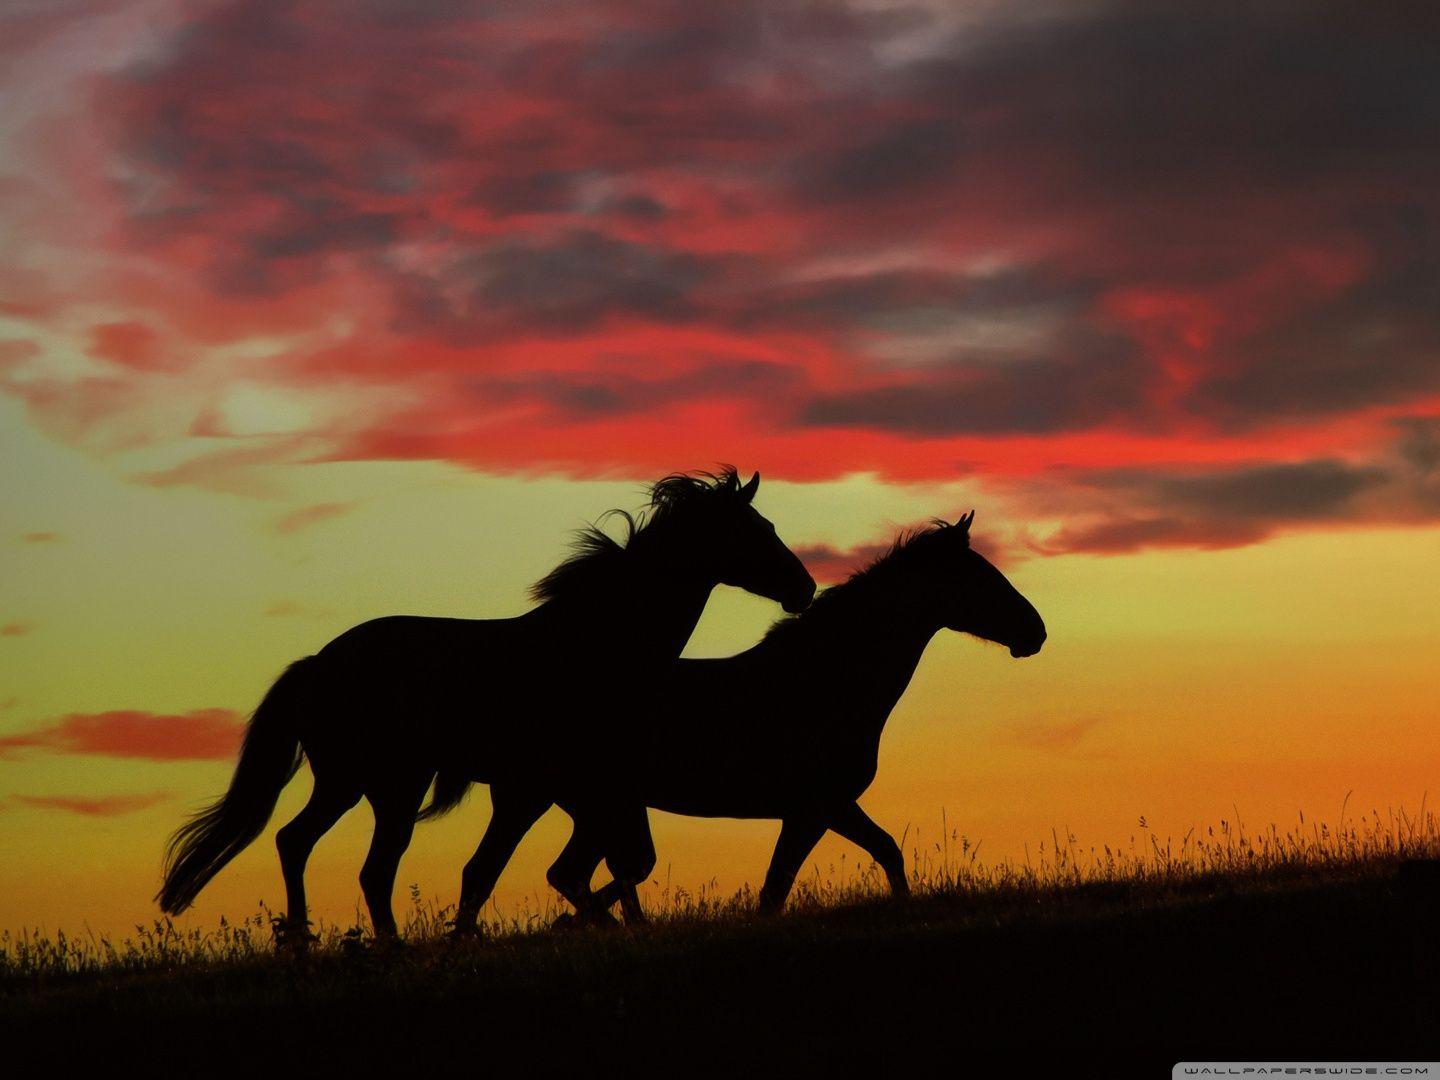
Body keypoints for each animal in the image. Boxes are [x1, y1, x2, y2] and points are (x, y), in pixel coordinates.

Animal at [156, 469, 816, 941]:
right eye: (757, 529)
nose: (804, 588)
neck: (592, 648)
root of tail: (318, 663)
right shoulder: (541, 789)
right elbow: (515, 871)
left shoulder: (567, 791)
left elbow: (567, 868)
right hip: (380, 784)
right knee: (351, 861)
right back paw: (358, 945)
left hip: (361, 784)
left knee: (310, 847)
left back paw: (311, 942)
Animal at [444, 511, 1044, 929]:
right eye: (981, 578)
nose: (1035, 632)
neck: (826, 681)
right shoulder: (814, 808)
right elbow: (779, 890)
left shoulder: (826, 808)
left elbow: (881, 854)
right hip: (554, 802)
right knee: (539, 873)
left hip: (583, 808)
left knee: (554, 873)